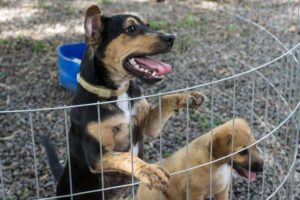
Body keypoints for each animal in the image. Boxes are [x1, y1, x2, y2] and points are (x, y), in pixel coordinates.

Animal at [43, 4, 205, 200]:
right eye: (132, 29)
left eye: (148, 25)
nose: (171, 38)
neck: (118, 91)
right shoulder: (96, 156)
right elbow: (127, 157)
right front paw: (149, 170)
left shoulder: (150, 127)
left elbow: (164, 99)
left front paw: (188, 98)